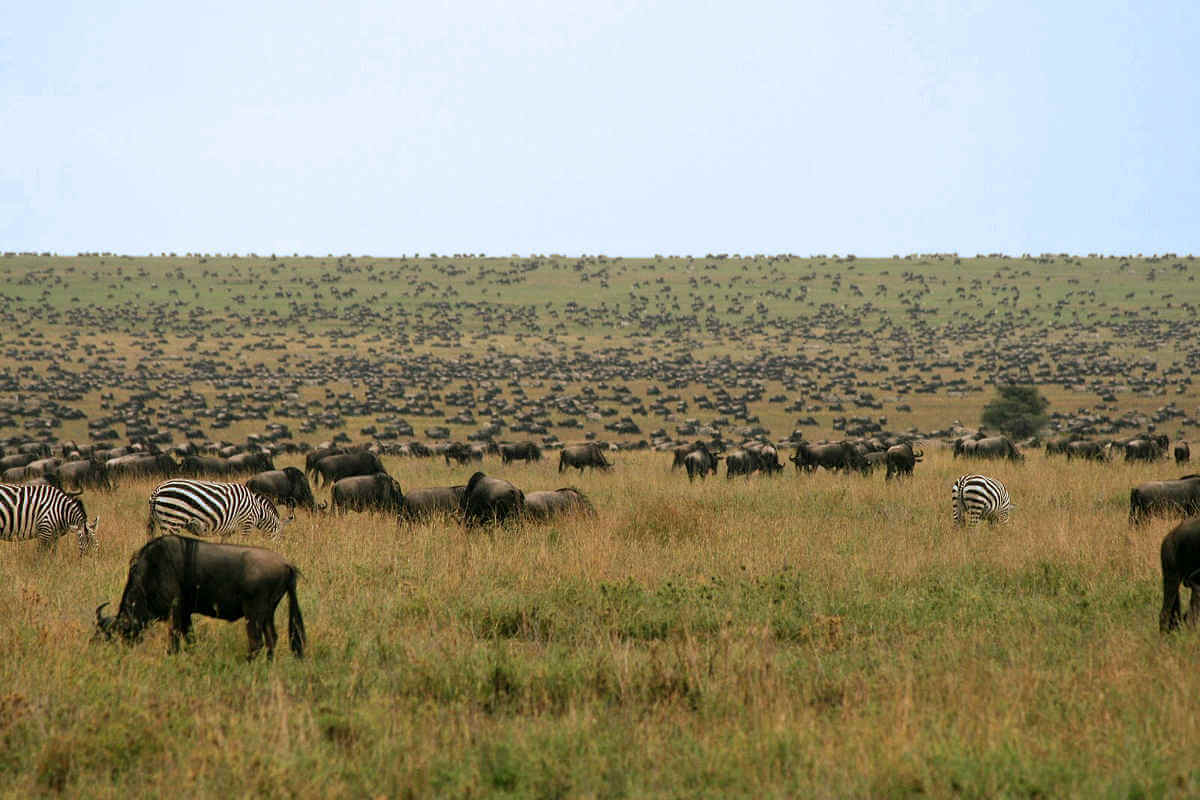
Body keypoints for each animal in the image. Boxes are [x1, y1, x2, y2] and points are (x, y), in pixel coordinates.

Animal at [145, 479, 295, 542]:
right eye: (281, 536)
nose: (280, 548)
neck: (259, 511)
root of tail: (157, 489)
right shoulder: (247, 524)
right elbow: (244, 543)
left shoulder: (228, 531)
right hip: (173, 520)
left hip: (164, 521)